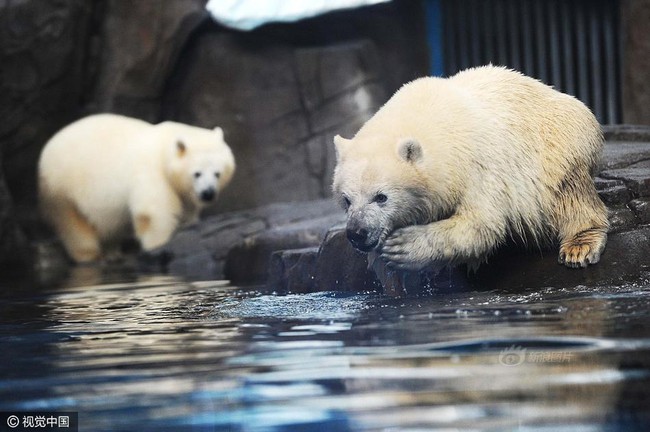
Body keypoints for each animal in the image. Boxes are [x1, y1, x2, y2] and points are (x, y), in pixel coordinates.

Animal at [38, 114, 235, 264]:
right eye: (197, 173)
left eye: (218, 173)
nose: (208, 193)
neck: (164, 150)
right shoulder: (151, 172)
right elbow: (153, 212)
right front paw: (156, 245)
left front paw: (188, 220)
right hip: (63, 188)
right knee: (73, 224)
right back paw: (90, 255)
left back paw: (113, 253)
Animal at [334, 64, 608, 270]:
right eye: (346, 200)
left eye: (381, 197)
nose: (357, 232)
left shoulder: (477, 163)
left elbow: (480, 224)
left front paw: (403, 247)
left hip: (556, 148)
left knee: (569, 196)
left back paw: (579, 246)